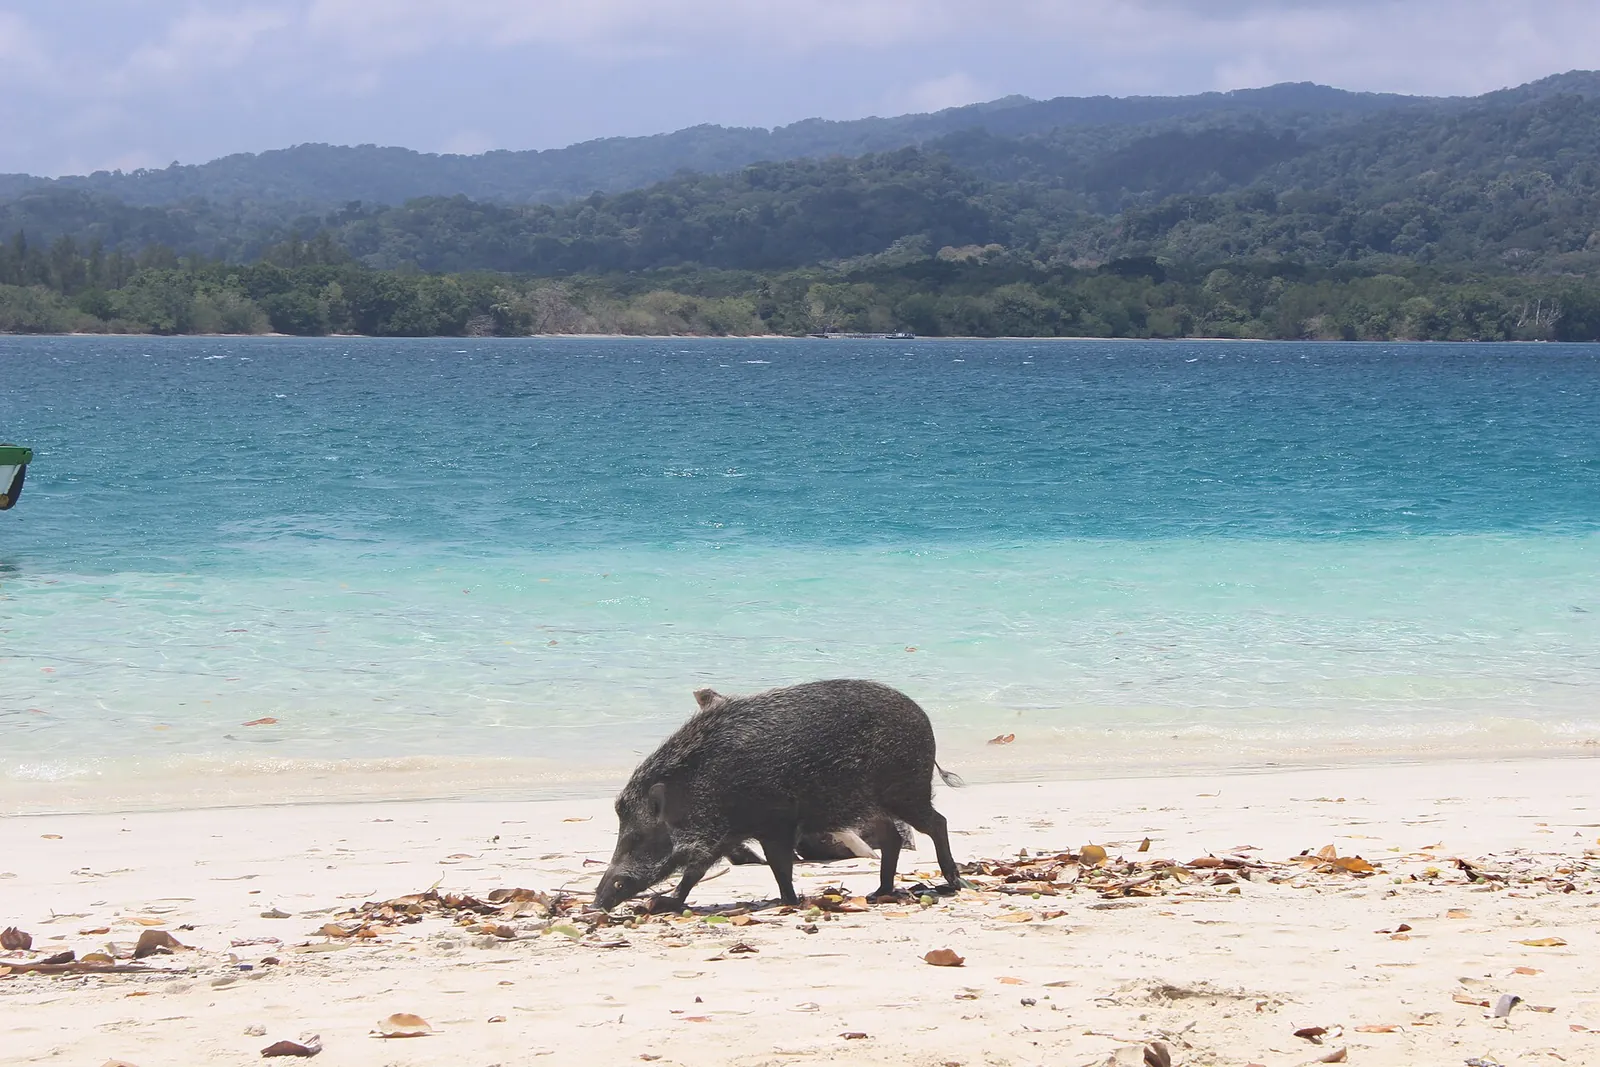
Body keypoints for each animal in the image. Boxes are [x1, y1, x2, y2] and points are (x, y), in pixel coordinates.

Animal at [592, 679, 963, 911]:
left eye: (637, 837)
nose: (596, 903)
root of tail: (924, 719)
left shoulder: (775, 824)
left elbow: (778, 864)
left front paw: (789, 902)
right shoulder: (728, 834)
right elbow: (696, 872)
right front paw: (663, 904)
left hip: (905, 792)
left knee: (937, 823)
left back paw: (953, 882)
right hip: (872, 806)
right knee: (892, 838)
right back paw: (879, 892)